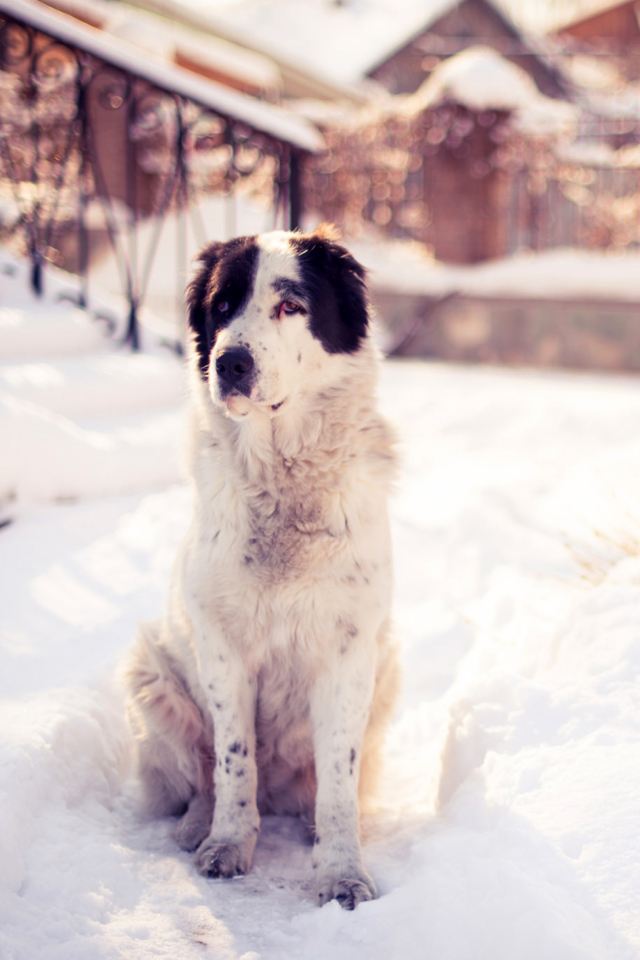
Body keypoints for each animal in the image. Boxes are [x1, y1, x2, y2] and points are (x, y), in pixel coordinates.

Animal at [126, 223, 400, 908]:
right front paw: (227, 845)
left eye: (290, 306)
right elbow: (232, 759)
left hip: (389, 671)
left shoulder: (349, 654)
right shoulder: (223, 652)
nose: (230, 362)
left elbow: (338, 780)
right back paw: (197, 826)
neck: (284, 482)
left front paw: (342, 872)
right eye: (222, 306)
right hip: (151, 671)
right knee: (202, 775)